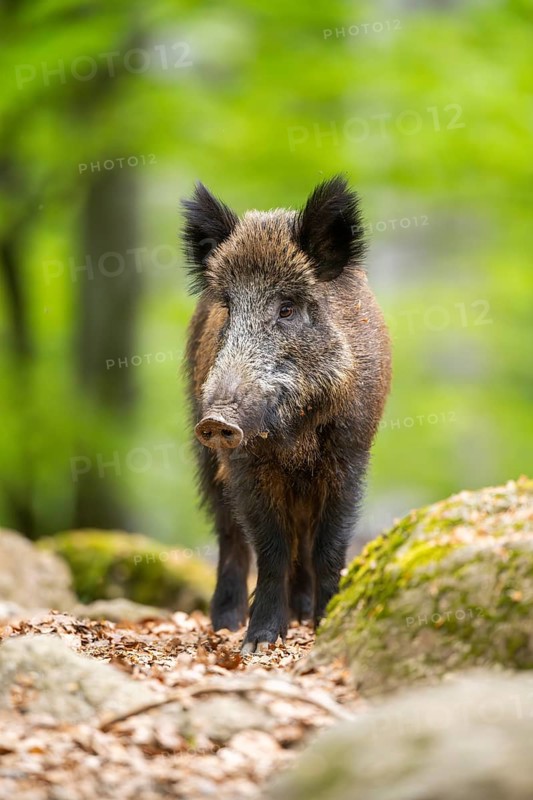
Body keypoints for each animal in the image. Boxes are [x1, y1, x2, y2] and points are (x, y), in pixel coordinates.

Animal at [181, 176, 391, 652]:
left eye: (287, 309)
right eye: (229, 307)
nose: (217, 420)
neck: (292, 435)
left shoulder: (351, 452)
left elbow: (328, 545)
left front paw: (325, 624)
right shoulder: (244, 466)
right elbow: (270, 548)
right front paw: (257, 642)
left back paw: (301, 614)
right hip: (205, 458)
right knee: (230, 535)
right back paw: (226, 624)